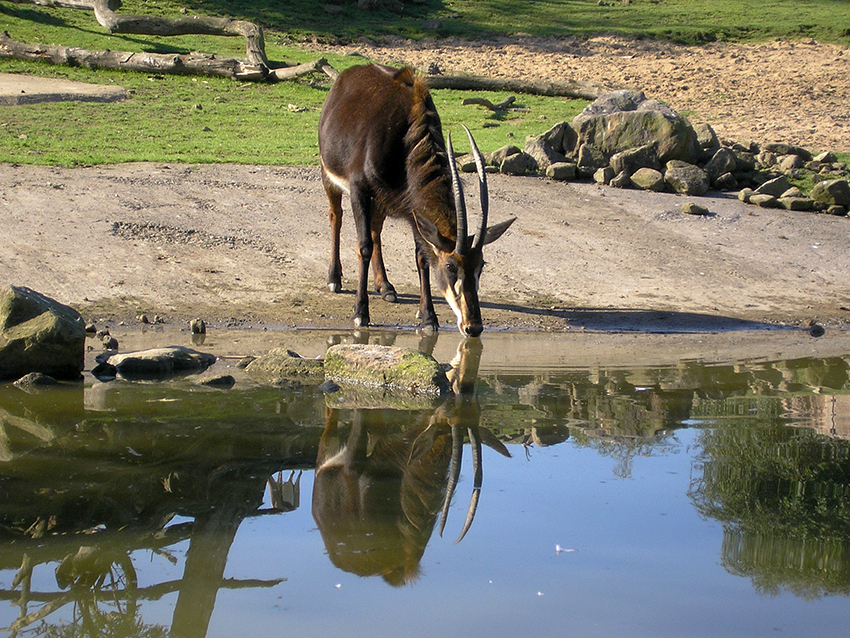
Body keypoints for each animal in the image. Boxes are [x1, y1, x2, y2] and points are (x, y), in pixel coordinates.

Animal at [316, 63, 510, 340]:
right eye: (450, 266)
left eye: (481, 265)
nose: (473, 327)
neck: (405, 139)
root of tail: (348, 74)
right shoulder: (359, 189)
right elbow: (363, 247)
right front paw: (360, 313)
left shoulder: (411, 208)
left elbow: (422, 257)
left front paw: (428, 317)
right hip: (330, 175)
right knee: (336, 217)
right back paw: (335, 278)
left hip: (382, 200)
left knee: (376, 230)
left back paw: (385, 286)